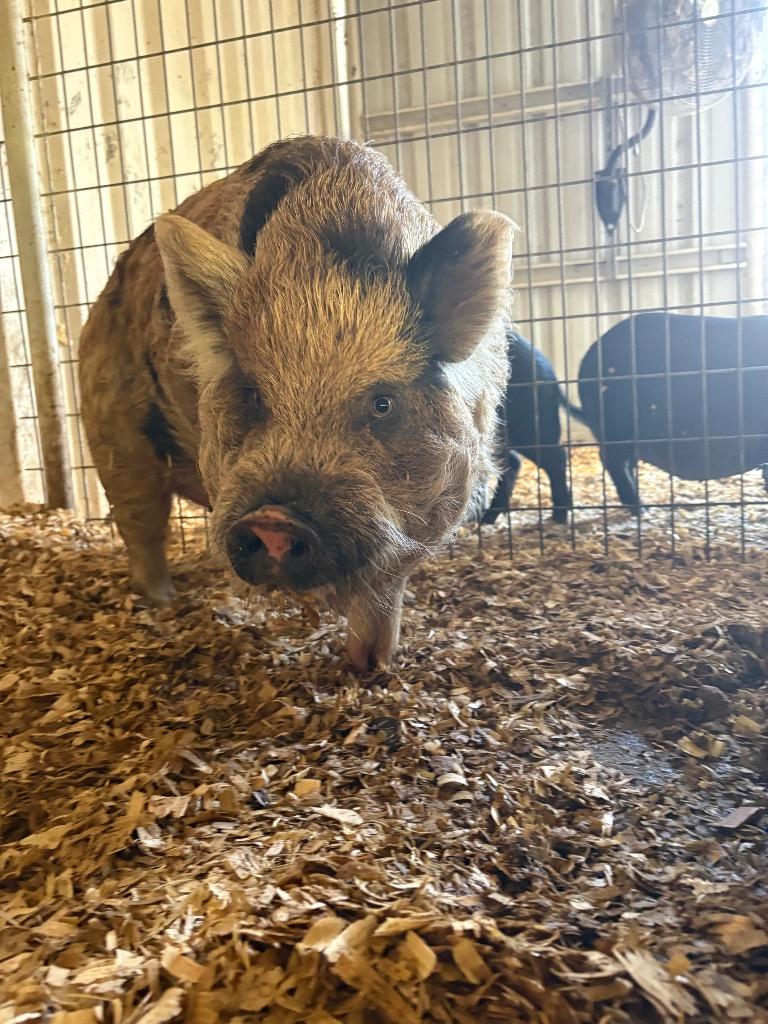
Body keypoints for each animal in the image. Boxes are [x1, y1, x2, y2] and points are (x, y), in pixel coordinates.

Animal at [79, 136, 515, 671]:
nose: (274, 520)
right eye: (253, 394)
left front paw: (371, 669)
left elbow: (380, 594)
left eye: (383, 403)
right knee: (140, 522)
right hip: (110, 432)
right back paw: (161, 601)